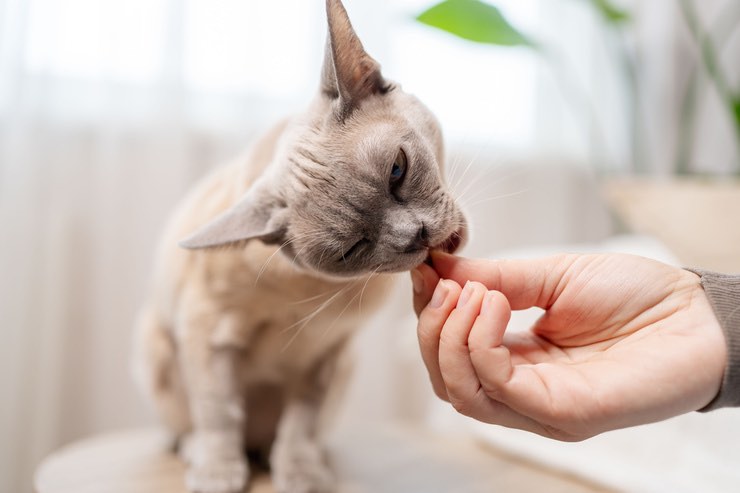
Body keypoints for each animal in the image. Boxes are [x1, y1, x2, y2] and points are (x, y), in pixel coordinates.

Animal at [132, 0, 466, 492]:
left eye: (397, 171)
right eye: (351, 249)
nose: (416, 236)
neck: (299, 300)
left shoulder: (325, 354)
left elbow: (301, 423)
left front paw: (299, 474)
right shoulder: (206, 335)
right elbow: (218, 412)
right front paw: (220, 473)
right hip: (152, 344)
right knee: (189, 429)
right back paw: (208, 455)